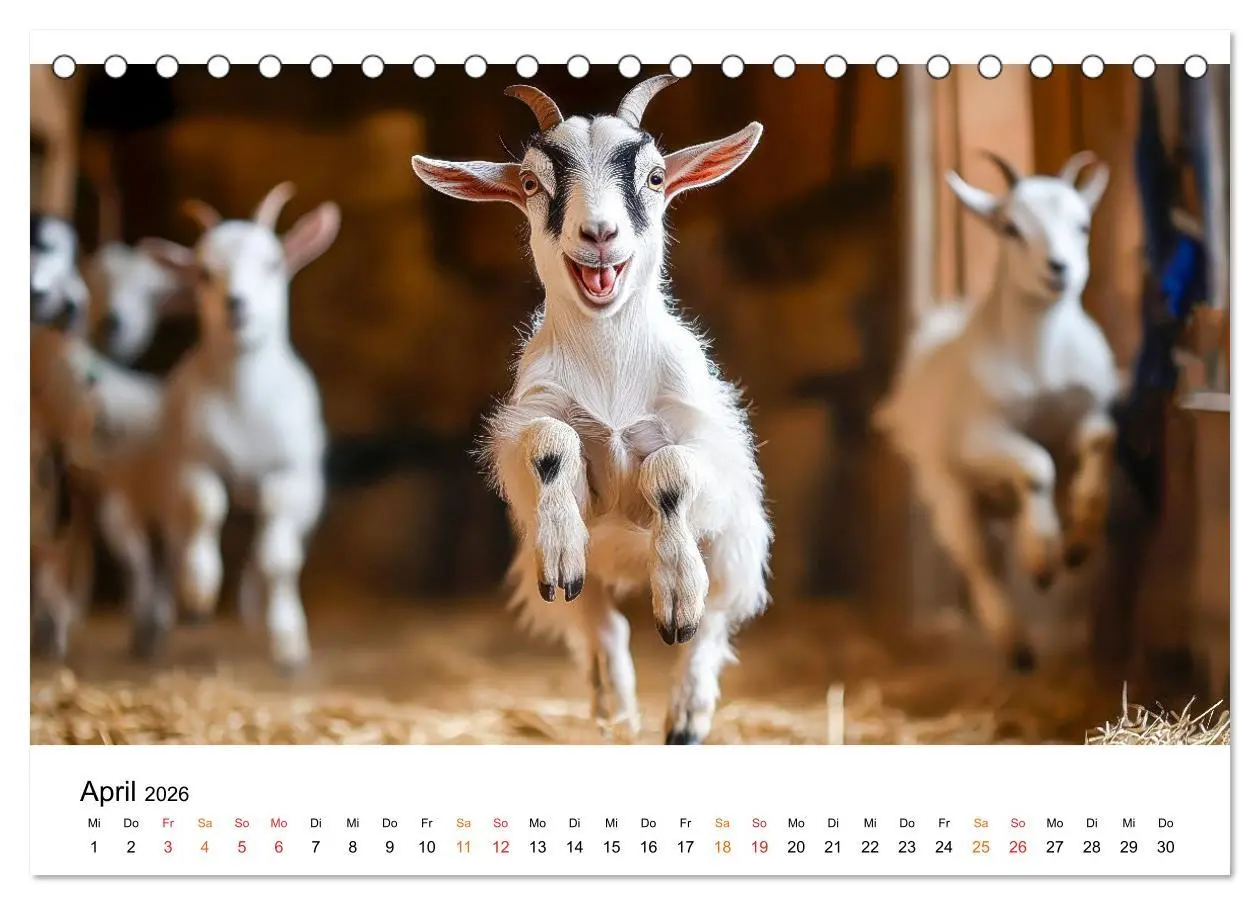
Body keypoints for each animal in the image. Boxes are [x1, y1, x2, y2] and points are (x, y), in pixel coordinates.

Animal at [411, 77, 771, 744]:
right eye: (532, 183)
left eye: (655, 177)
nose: (599, 233)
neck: (611, 376)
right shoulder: (536, 429)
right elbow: (550, 441)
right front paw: (561, 545)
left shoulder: (707, 455)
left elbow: (670, 472)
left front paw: (676, 591)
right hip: (567, 578)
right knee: (602, 627)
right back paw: (616, 714)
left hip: (738, 548)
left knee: (709, 629)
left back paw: (685, 716)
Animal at [874, 151, 1117, 672]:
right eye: (1011, 228)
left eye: (1083, 225)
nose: (1058, 269)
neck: (1041, 360)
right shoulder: (978, 437)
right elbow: (1036, 465)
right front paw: (1043, 559)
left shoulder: (1088, 409)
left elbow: (1098, 440)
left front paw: (1079, 541)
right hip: (948, 490)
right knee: (978, 560)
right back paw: (1016, 643)